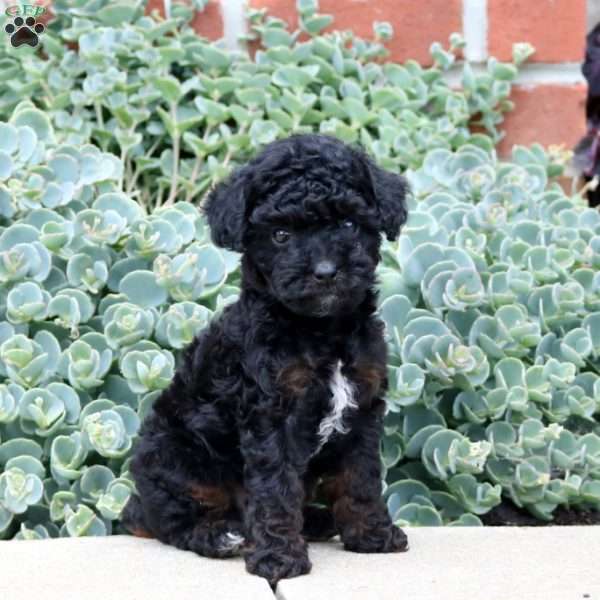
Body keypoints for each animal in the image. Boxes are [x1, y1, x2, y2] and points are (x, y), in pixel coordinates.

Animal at [124, 134, 410, 584]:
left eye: (349, 224)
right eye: (280, 235)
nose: (326, 272)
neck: (321, 331)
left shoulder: (362, 406)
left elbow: (361, 477)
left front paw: (372, 535)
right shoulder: (271, 414)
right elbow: (274, 489)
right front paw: (278, 558)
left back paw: (317, 521)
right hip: (175, 458)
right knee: (177, 521)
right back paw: (221, 536)